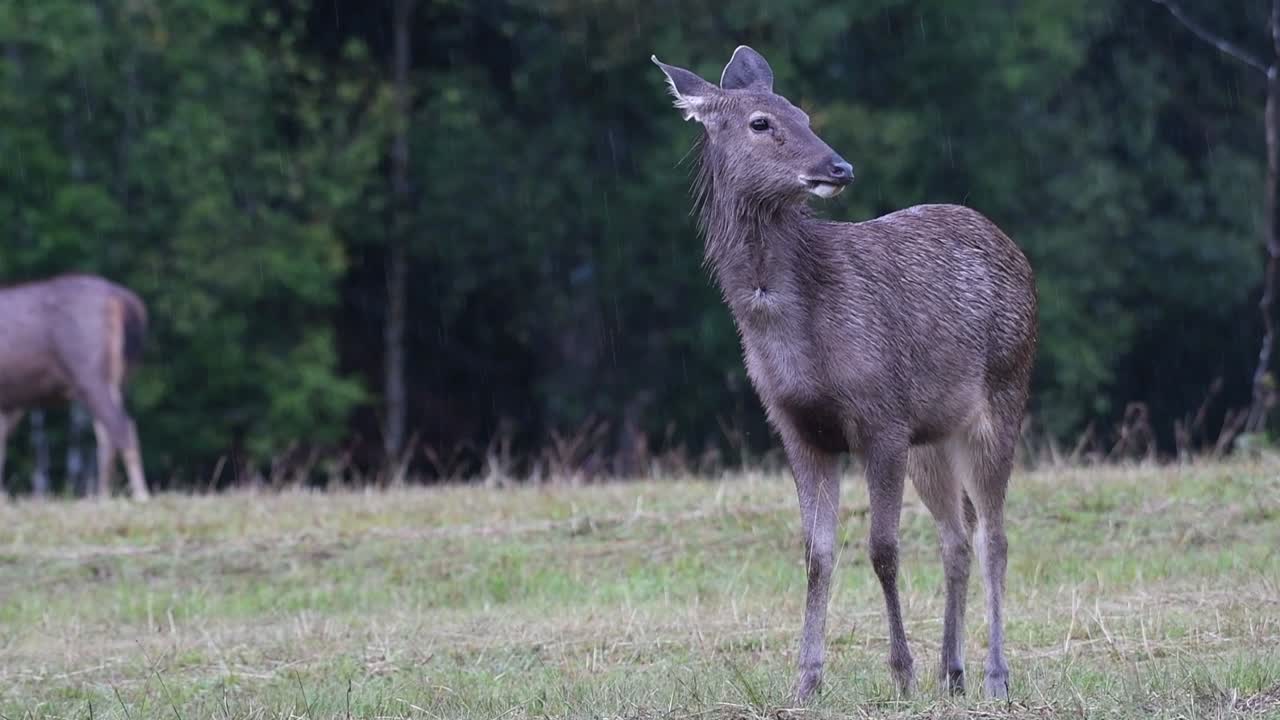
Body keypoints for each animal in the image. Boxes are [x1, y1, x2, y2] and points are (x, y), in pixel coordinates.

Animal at [0, 274, 151, 501]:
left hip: (89, 371)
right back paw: (103, 495)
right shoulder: (11, 403)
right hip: (114, 379)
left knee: (122, 427)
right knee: (107, 433)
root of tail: (125, 301)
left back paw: (141, 495)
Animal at [651, 47, 1037, 702]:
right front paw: (805, 681)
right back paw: (953, 672)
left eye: (805, 114)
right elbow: (817, 552)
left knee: (995, 536)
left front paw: (901, 673)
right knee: (957, 536)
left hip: (1005, 391)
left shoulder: (881, 415)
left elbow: (882, 548)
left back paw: (994, 676)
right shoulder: (797, 427)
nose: (839, 167)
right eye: (761, 121)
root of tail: (1015, 251)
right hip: (933, 434)